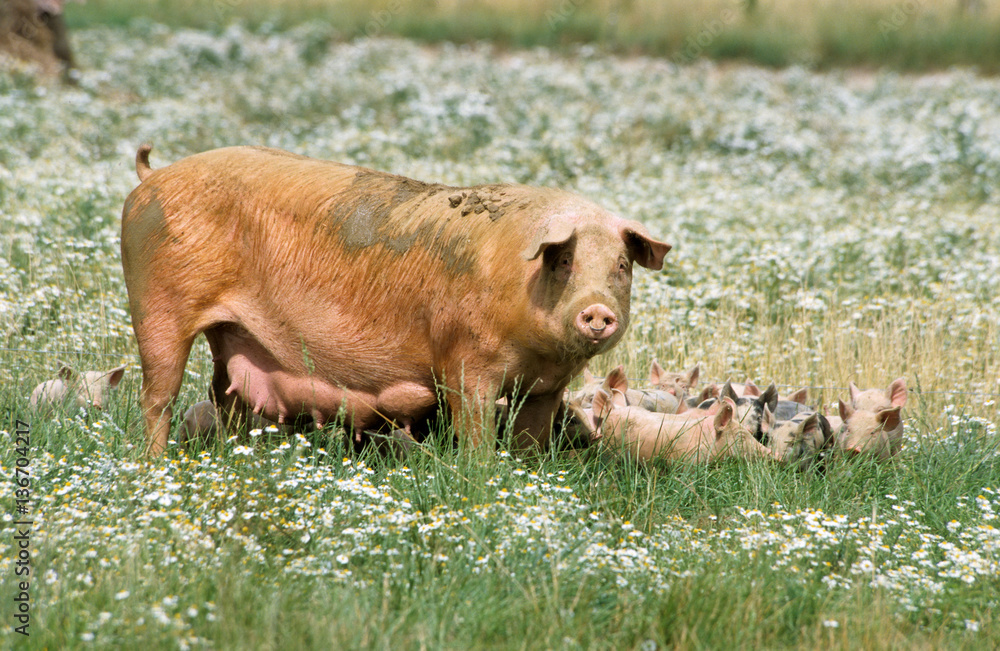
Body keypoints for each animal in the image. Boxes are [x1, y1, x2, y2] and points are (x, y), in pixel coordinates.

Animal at [121, 145, 670, 456]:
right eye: (564, 262)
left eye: (621, 267)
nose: (598, 309)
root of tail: (153, 176)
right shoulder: (465, 362)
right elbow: (474, 432)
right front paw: (480, 477)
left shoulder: (546, 388)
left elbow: (531, 440)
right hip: (156, 306)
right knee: (158, 395)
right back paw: (155, 465)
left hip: (229, 335)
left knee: (224, 394)